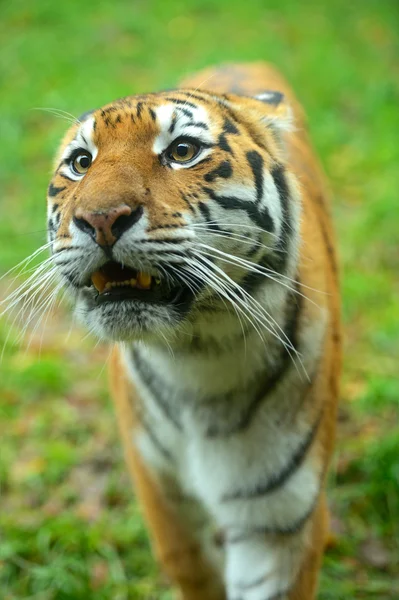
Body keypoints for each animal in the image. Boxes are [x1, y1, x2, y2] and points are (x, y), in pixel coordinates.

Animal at [45, 63, 342, 596]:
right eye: (80, 162)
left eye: (182, 151)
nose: (100, 218)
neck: (198, 353)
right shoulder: (161, 497)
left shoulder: (280, 519)